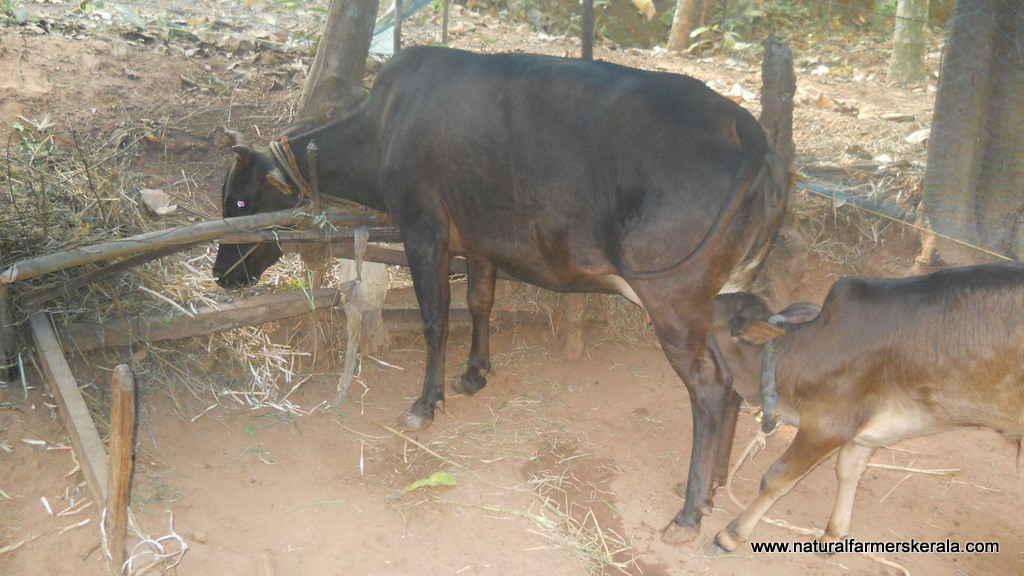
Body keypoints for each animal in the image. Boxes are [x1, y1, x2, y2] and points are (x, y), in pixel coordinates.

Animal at [211, 45, 786, 537]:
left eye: (238, 202)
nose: (221, 276)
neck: (383, 126)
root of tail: (748, 129)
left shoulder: (423, 228)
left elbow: (436, 318)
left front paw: (425, 403)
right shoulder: (480, 239)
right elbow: (479, 303)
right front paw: (474, 374)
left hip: (673, 299)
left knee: (709, 388)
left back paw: (689, 512)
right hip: (725, 295)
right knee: (730, 384)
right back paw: (713, 485)